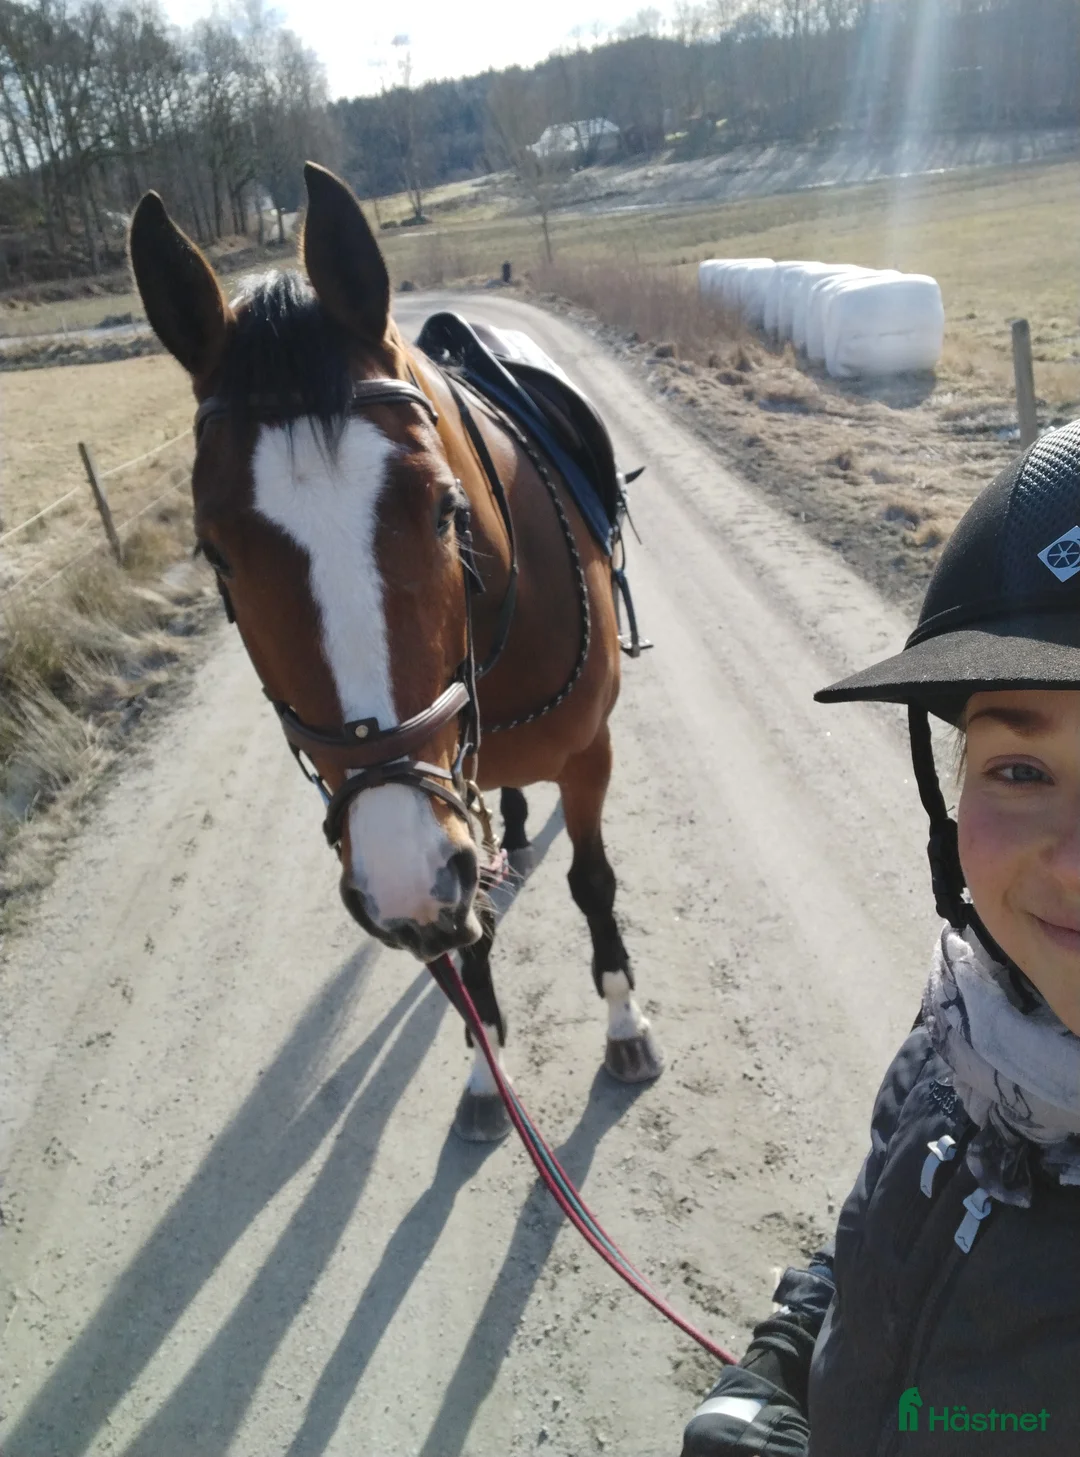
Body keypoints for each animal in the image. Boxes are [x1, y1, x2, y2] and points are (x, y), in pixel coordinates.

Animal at [128, 161, 662, 1140]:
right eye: (214, 553)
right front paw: (486, 1071)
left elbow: (594, 882)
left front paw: (623, 1020)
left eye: (447, 511)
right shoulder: (440, 841)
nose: (403, 870)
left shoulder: (586, 757)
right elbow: (470, 935)